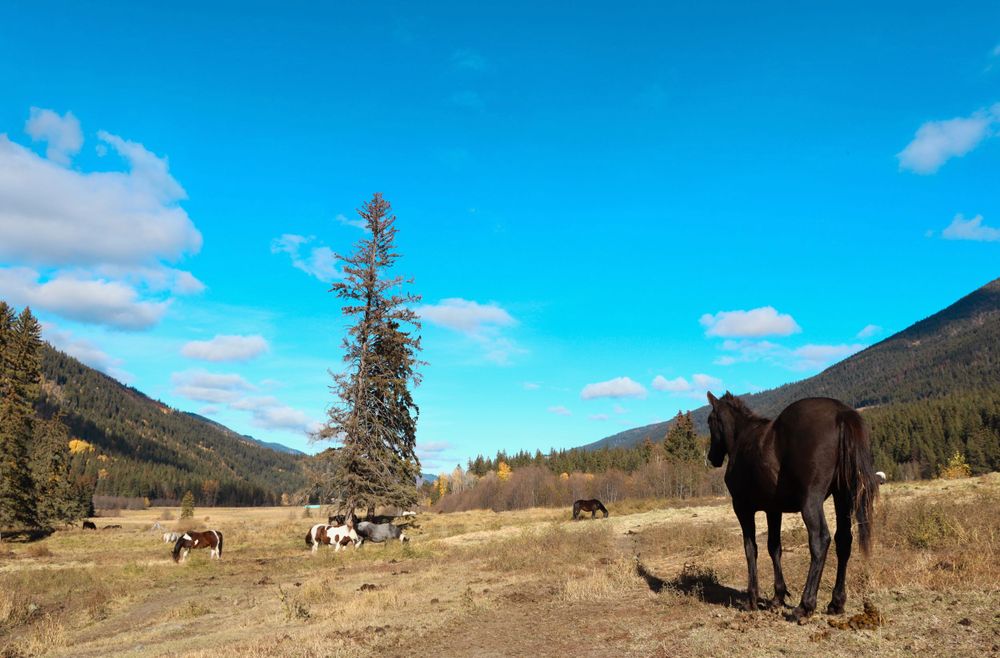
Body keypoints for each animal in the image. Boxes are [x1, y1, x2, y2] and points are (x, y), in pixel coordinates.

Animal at [706, 392, 879, 621]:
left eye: (710, 421)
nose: (711, 457)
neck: (743, 438)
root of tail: (841, 413)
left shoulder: (743, 508)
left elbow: (751, 549)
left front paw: (752, 598)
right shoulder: (773, 510)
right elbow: (774, 548)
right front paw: (777, 597)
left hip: (811, 501)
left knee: (820, 540)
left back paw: (805, 605)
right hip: (842, 496)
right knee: (843, 541)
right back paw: (836, 603)